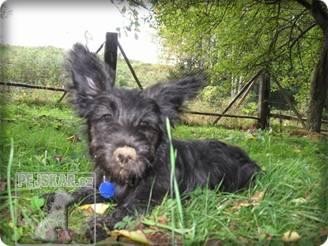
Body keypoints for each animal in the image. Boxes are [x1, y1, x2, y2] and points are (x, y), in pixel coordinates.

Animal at [65, 43, 260, 241]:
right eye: (106, 117)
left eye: (146, 124)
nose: (126, 154)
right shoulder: (96, 187)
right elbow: (74, 193)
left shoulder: (148, 198)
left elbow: (124, 210)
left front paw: (100, 224)